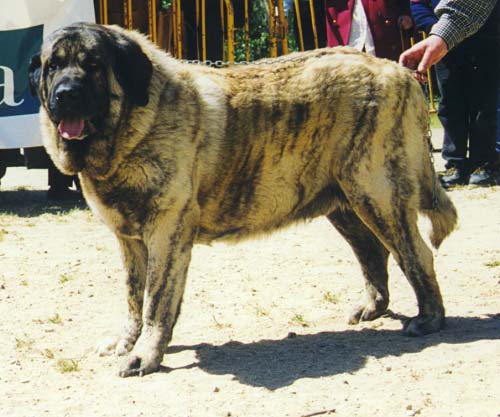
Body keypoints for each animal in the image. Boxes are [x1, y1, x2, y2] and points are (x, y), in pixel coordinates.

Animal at [28, 21, 458, 376]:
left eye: (93, 64)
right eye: (52, 67)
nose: (66, 94)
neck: (129, 128)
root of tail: (398, 70)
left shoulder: (165, 234)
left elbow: (155, 302)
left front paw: (145, 355)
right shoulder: (130, 240)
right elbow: (135, 299)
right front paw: (128, 342)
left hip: (378, 195)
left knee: (416, 255)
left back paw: (430, 318)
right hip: (346, 205)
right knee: (374, 254)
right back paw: (373, 307)